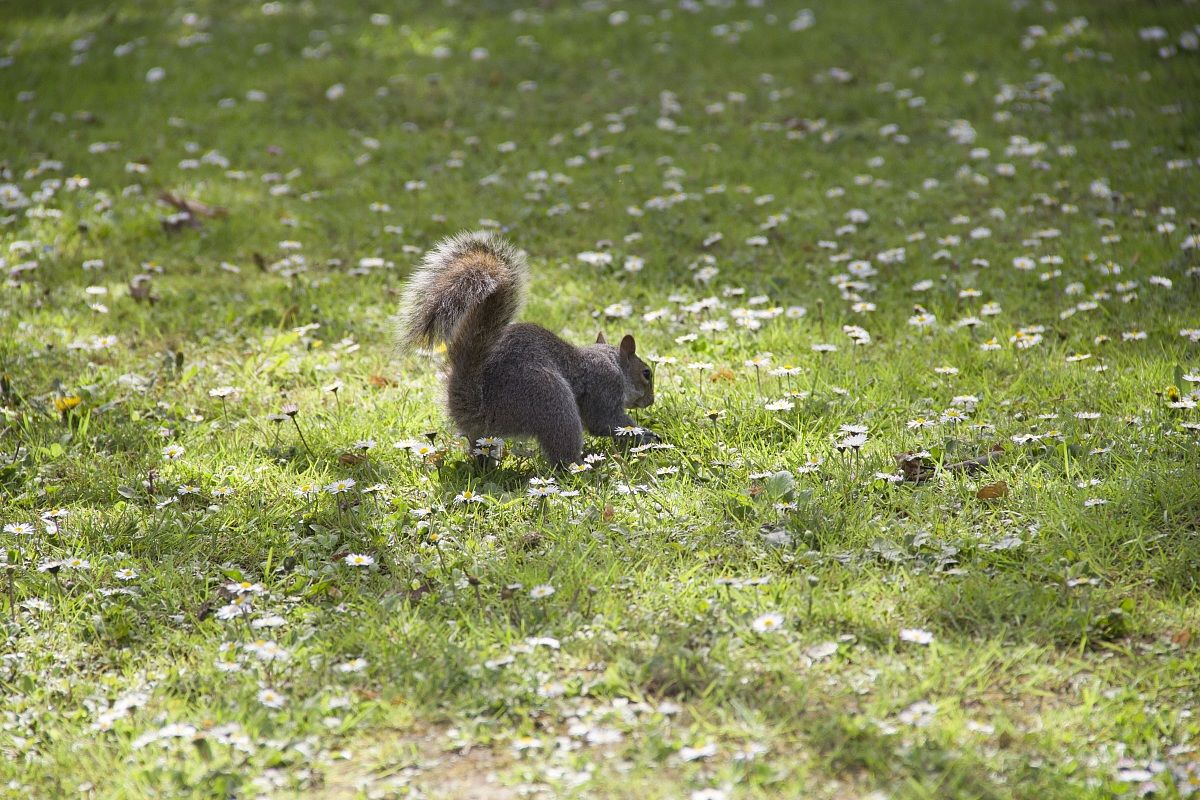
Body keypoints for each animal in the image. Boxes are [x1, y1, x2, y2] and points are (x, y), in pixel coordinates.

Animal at [396, 231, 658, 467]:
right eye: (647, 373)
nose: (651, 401)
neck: (612, 363)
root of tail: (477, 406)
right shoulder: (604, 386)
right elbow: (606, 421)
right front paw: (646, 434)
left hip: (487, 434)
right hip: (552, 401)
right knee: (563, 453)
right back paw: (583, 466)